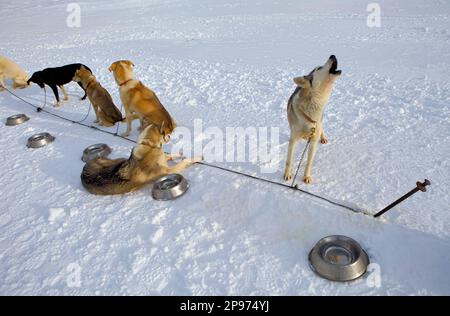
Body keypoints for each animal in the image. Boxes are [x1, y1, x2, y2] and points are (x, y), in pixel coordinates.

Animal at [284, 53, 342, 183]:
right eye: (319, 68)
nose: (332, 55)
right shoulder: (293, 140)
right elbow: (289, 160)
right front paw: (287, 174)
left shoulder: (313, 141)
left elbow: (309, 163)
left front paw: (306, 177)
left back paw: (323, 137)